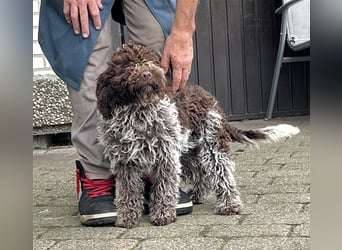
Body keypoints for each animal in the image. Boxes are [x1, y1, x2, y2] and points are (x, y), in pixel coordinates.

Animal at [95, 41, 300, 229]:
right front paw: (127, 217)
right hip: (188, 152)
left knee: (223, 174)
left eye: (150, 62)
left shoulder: (165, 157)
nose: (147, 74)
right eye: (127, 66)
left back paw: (229, 204)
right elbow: (127, 191)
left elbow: (164, 188)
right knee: (202, 175)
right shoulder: (125, 161)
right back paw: (197, 196)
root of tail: (212, 101)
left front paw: (163, 214)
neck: (138, 112)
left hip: (212, 146)